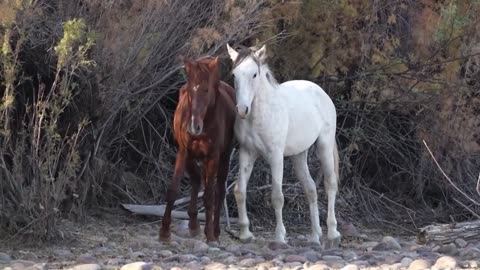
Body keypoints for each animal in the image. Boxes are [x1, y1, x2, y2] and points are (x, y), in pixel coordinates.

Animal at [160, 56, 237, 244]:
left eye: (206, 89)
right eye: (189, 90)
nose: (194, 126)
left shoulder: (213, 157)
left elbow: (209, 196)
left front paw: (210, 235)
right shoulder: (183, 152)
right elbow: (173, 190)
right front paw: (164, 232)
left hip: (223, 158)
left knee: (219, 191)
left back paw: (215, 231)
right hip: (192, 157)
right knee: (196, 179)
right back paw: (194, 224)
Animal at [226, 43, 342, 247]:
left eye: (254, 74)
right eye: (234, 75)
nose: (242, 110)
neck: (259, 115)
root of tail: (322, 93)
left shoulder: (276, 156)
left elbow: (277, 197)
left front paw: (280, 237)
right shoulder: (247, 152)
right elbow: (240, 191)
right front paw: (245, 234)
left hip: (324, 146)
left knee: (330, 184)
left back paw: (333, 233)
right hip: (299, 155)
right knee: (311, 189)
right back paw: (315, 236)